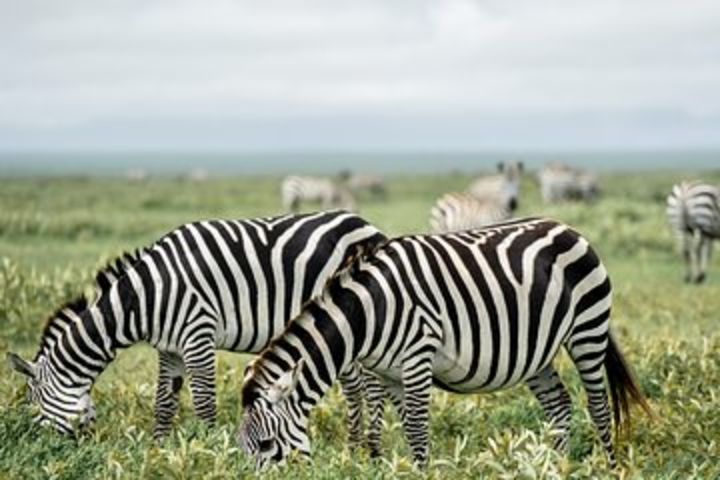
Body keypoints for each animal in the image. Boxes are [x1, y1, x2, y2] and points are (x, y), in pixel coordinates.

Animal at [7, 210, 388, 438]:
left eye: (33, 402)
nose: (42, 448)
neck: (147, 297)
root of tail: (367, 224)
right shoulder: (169, 348)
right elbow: (164, 403)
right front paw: (159, 451)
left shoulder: (197, 335)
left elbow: (204, 401)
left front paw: (210, 451)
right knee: (357, 386)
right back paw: (356, 445)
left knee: (367, 387)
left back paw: (362, 449)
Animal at [239, 218, 648, 468]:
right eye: (243, 449)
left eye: (266, 445)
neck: (368, 312)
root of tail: (567, 227)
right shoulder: (389, 373)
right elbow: (407, 428)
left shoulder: (418, 355)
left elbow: (419, 433)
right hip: (538, 352)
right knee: (560, 406)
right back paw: (554, 468)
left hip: (587, 331)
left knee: (599, 407)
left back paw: (607, 467)